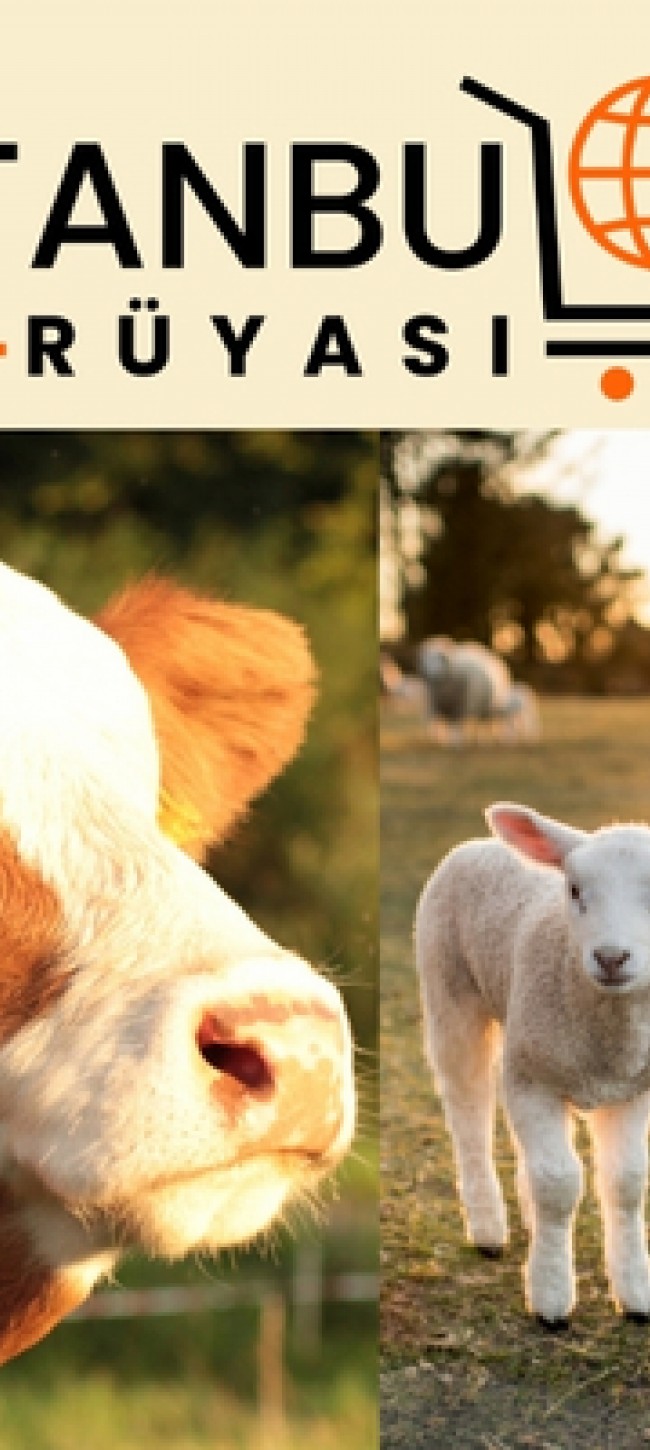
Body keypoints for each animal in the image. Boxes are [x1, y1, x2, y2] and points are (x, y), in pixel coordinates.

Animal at [415, 803, 650, 1327]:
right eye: (575, 890)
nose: (611, 957)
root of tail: (479, 842)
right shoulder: (534, 1081)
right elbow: (559, 1184)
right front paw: (551, 1296)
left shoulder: (634, 1087)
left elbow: (626, 1183)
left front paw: (636, 1294)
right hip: (450, 993)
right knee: (469, 1111)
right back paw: (488, 1228)